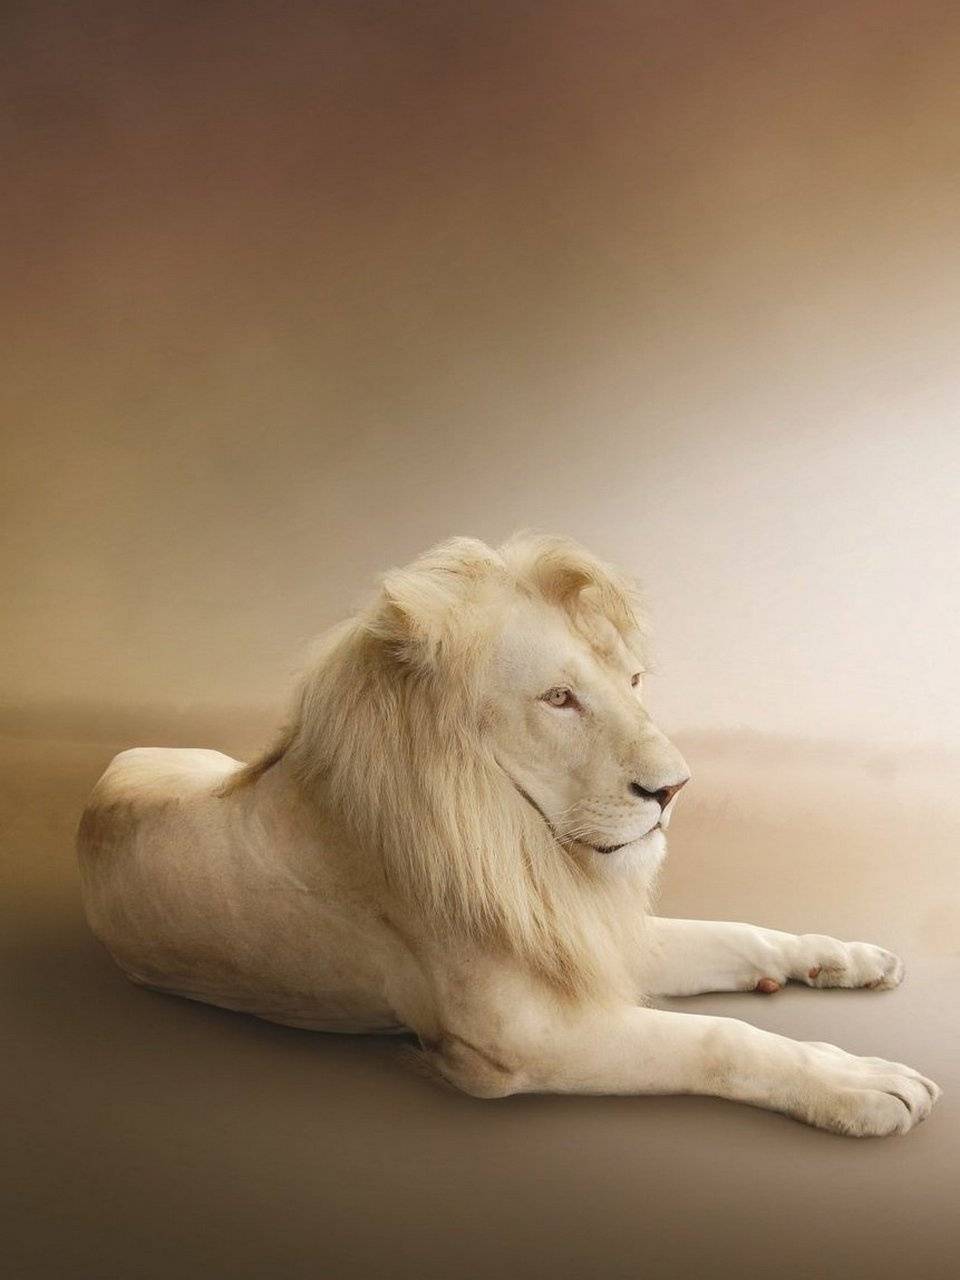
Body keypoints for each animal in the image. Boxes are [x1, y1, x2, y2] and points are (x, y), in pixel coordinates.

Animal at [77, 533, 939, 1135]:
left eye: (632, 681)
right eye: (558, 699)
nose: (675, 789)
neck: (528, 849)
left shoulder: (582, 934)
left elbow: (736, 933)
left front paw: (844, 958)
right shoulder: (521, 1038)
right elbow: (719, 1040)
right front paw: (861, 1084)